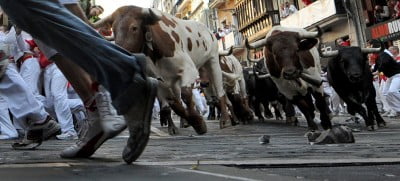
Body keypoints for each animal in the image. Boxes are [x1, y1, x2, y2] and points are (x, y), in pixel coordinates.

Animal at [93, 6, 231, 133]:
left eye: (134, 28)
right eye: (114, 30)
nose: (117, 54)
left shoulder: (189, 69)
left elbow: (186, 94)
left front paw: (198, 122)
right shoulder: (158, 80)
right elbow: (173, 104)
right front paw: (190, 121)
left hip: (213, 61)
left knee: (220, 90)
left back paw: (225, 119)